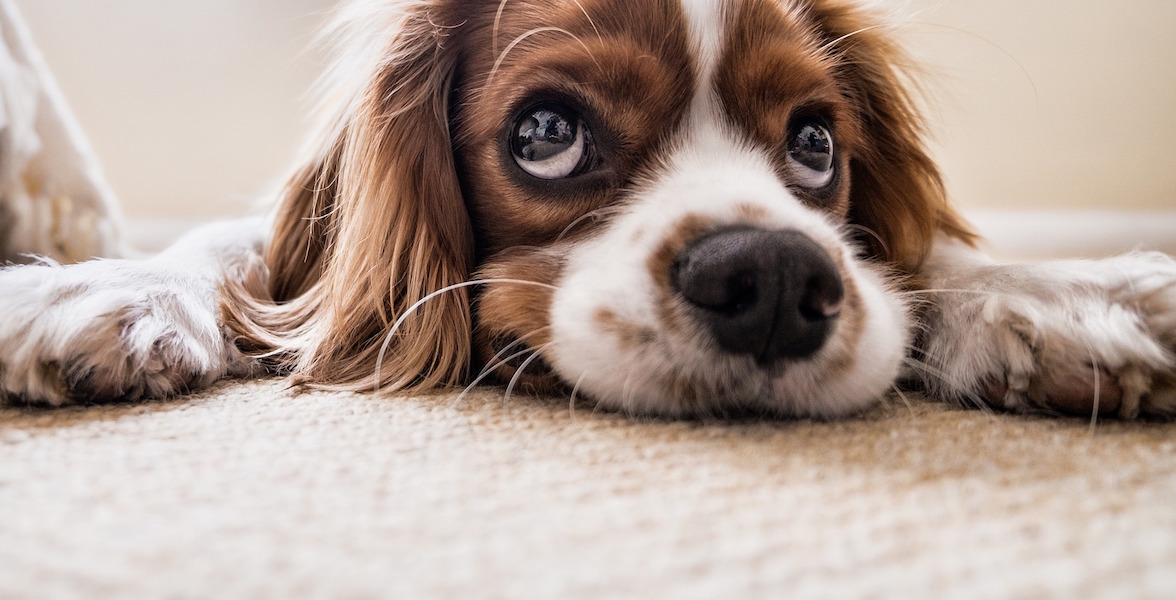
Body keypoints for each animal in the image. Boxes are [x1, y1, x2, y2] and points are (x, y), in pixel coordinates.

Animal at [2, 0, 1176, 418]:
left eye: (815, 145)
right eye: (546, 134)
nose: (774, 279)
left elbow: (928, 256)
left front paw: (1065, 296)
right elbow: (233, 247)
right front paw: (108, 290)